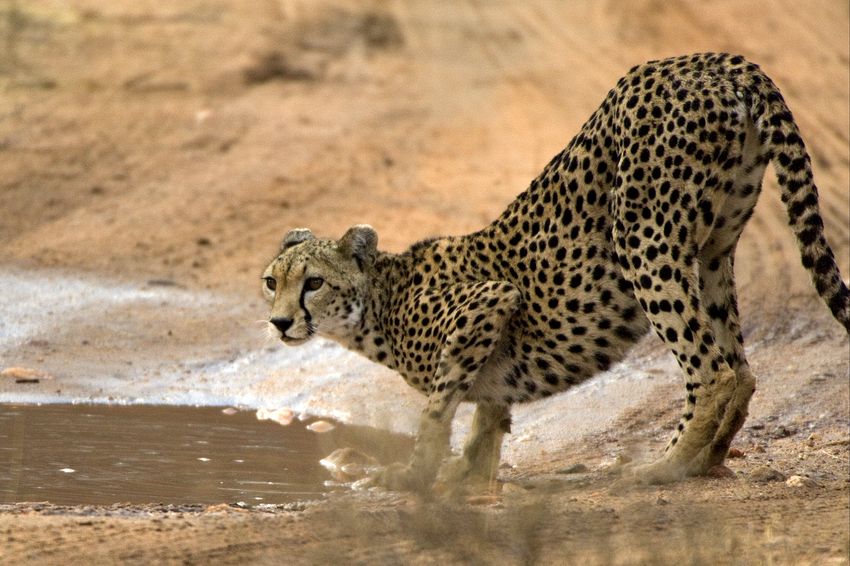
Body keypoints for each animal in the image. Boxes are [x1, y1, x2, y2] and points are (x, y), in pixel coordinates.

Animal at [262, 52, 848, 492]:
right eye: (272, 282)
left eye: (313, 283)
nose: (279, 323)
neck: (377, 305)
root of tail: (715, 60)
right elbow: (487, 414)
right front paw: (468, 472)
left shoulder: (487, 302)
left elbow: (437, 406)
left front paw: (415, 475)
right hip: (712, 248)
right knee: (741, 370)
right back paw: (707, 460)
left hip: (642, 234)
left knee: (713, 371)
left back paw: (665, 467)